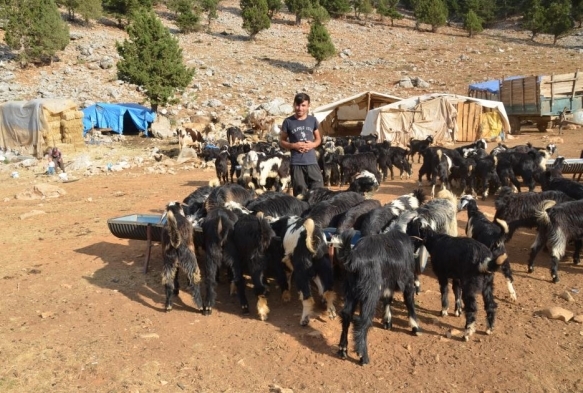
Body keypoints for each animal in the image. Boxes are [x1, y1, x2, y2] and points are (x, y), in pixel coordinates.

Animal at [336, 211, 422, 364]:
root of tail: (354, 257)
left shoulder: (388, 280)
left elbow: (388, 298)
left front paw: (387, 321)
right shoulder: (407, 280)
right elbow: (409, 303)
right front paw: (415, 326)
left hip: (351, 291)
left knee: (346, 316)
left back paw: (343, 349)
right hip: (370, 293)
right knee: (362, 321)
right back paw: (363, 356)